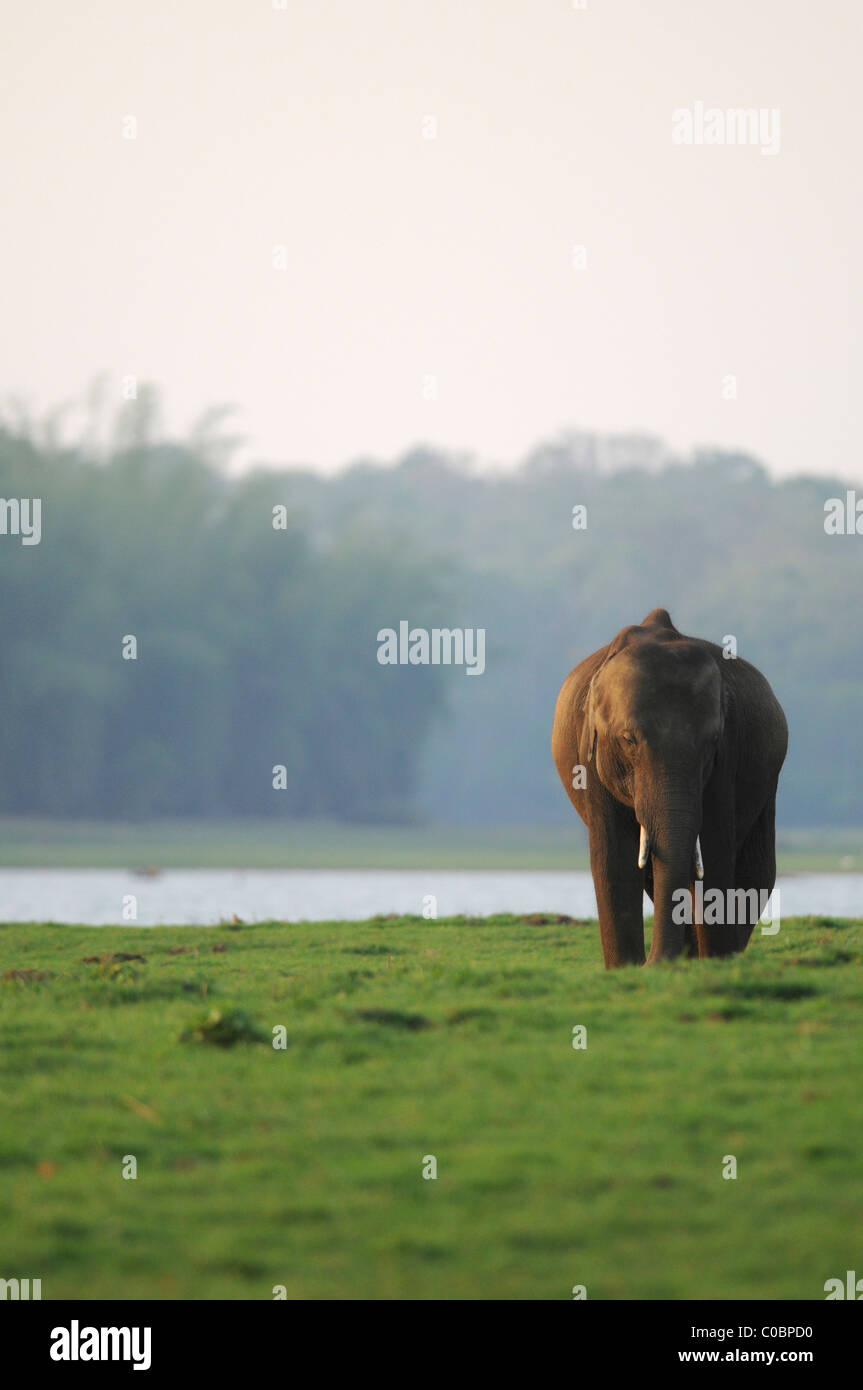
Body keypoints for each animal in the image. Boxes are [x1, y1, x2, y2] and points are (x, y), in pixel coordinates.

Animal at [553, 608, 789, 967]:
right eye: (628, 740)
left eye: (712, 741)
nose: (656, 962)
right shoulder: (589, 756)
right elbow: (613, 860)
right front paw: (624, 970)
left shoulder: (726, 759)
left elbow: (715, 851)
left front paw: (714, 964)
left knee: (755, 874)